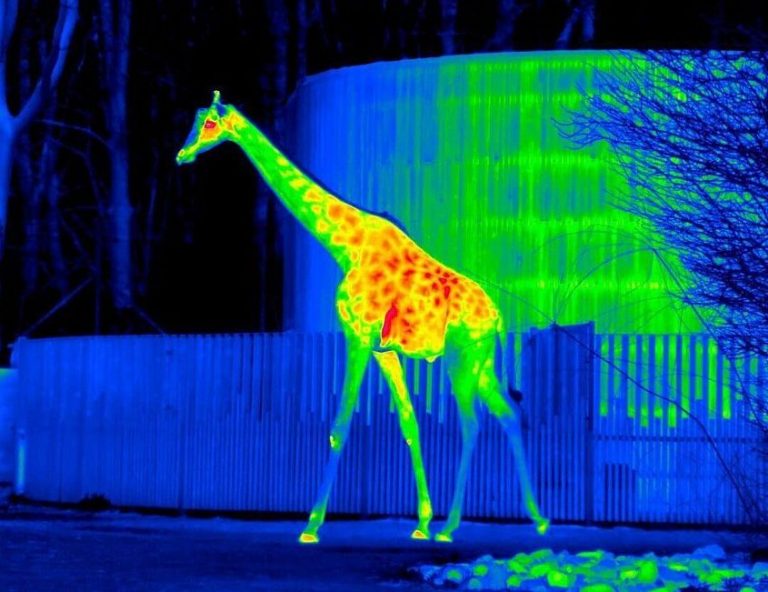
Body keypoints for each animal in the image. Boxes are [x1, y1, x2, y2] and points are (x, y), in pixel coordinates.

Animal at [176, 91, 550, 543]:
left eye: (210, 123)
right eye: (197, 119)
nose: (182, 155)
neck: (345, 247)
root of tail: (495, 318)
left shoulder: (357, 335)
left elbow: (339, 425)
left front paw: (311, 526)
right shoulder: (383, 351)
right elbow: (409, 422)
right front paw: (421, 522)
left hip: (461, 359)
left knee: (473, 423)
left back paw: (452, 527)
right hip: (483, 361)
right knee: (510, 414)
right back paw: (537, 518)